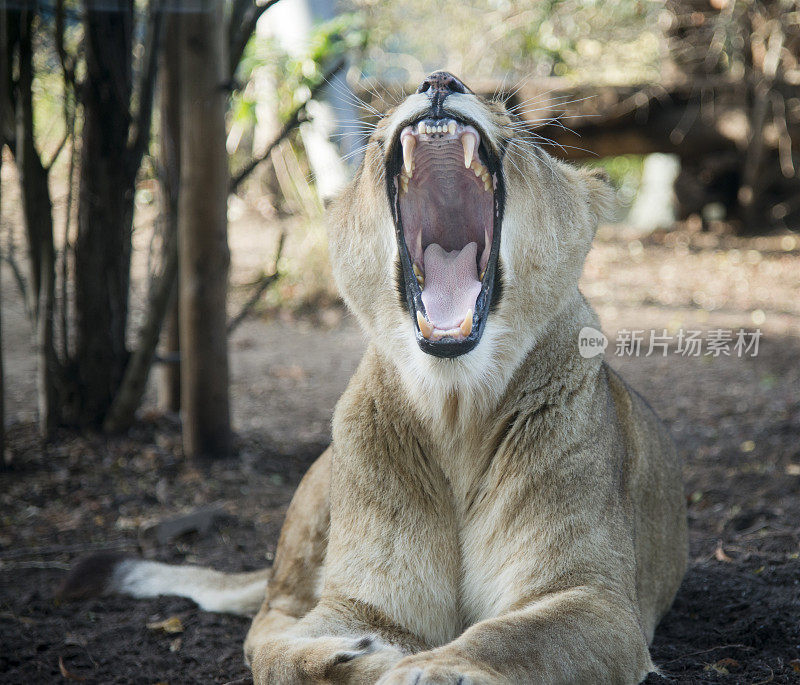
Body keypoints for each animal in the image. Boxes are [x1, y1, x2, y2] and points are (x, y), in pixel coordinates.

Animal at [64, 72, 688, 680]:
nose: (440, 80)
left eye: (522, 138)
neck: (455, 409)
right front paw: (350, 656)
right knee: (267, 620)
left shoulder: (596, 599)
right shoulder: (361, 602)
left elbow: (516, 638)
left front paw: (428, 670)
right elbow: (280, 658)